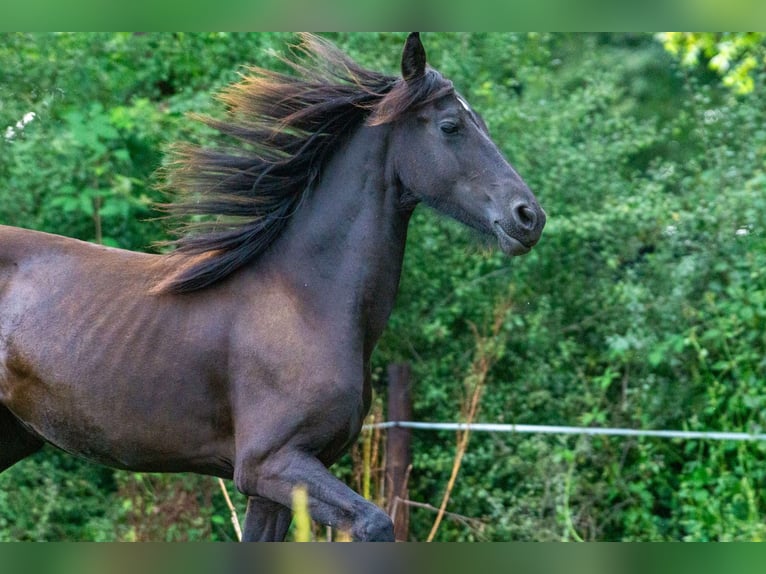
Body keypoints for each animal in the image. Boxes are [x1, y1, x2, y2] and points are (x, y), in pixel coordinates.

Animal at [0, 33, 544, 544]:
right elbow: (375, 524)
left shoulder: (277, 488)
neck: (309, 301)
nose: (529, 217)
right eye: (450, 126)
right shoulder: (271, 465)